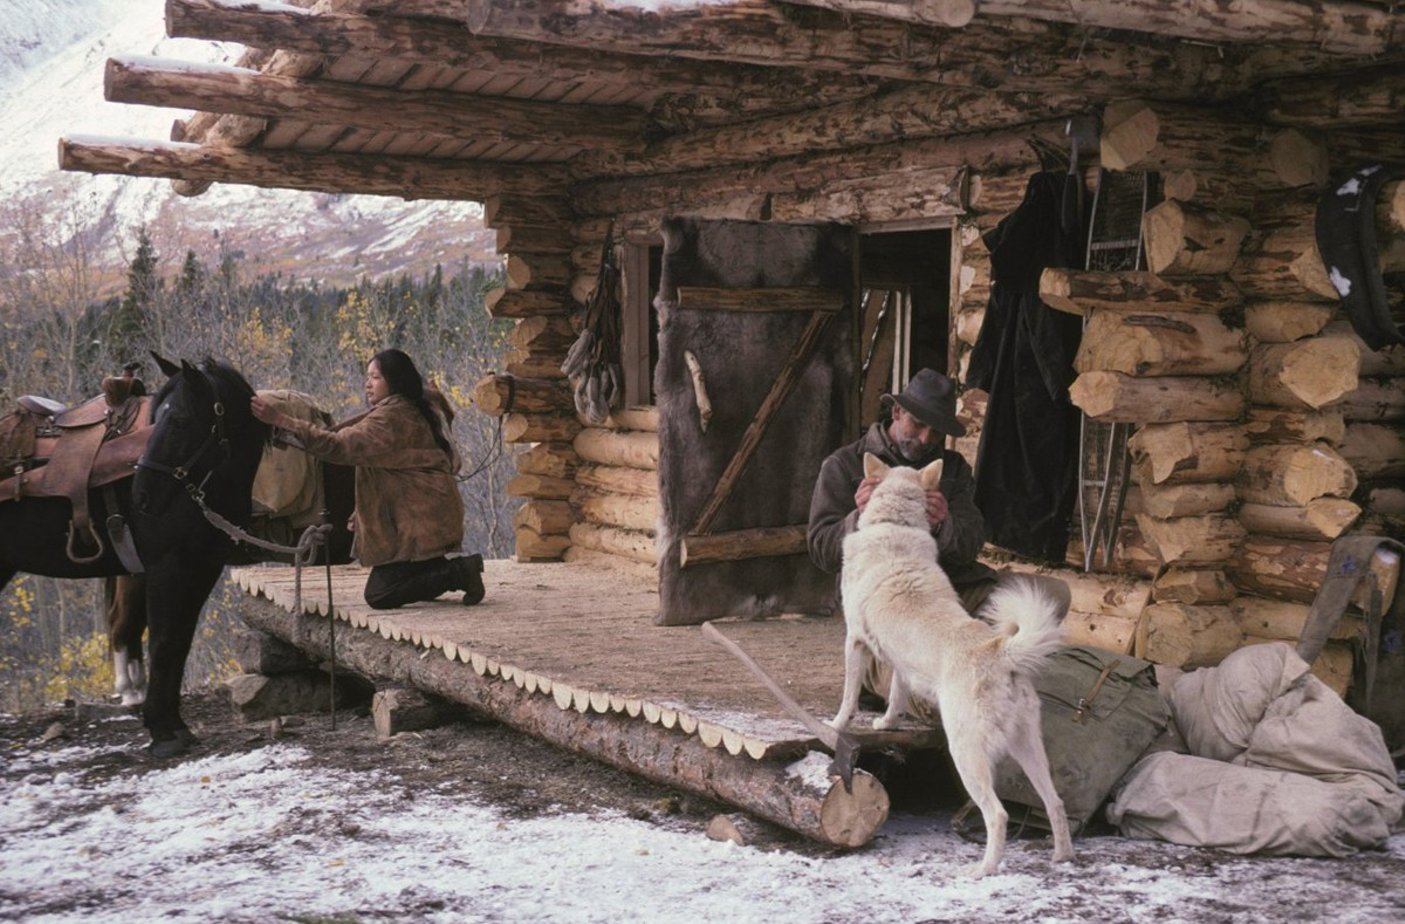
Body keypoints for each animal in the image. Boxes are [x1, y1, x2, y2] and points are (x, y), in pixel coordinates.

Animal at [831, 449, 1073, 876]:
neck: (894, 526)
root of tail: (998, 649)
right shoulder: (900, 662)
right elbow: (896, 696)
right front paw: (886, 723)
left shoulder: (855, 641)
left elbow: (848, 696)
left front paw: (838, 723)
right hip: (1028, 748)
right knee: (1054, 802)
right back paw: (1061, 857)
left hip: (967, 753)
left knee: (998, 815)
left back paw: (983, 870)